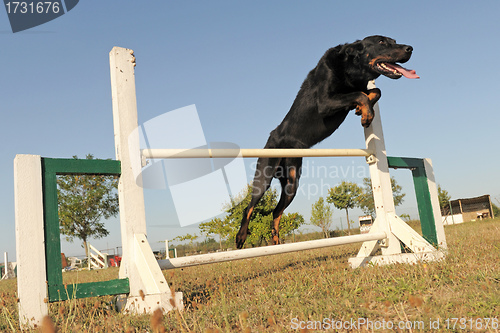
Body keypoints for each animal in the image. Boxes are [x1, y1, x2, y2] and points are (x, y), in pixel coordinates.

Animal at [234, 35, 418, 249]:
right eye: (381, 42)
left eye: (394, 41)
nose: (410, 48)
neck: (351, 68)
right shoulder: (325, 102)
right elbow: (359, 94)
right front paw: (366, 115)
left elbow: (375, 92)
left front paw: (363, 111)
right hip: (265, 174)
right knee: (249, 206)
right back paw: (241, 237)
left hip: (291, 183)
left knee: (276, 211)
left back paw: (276, 241)